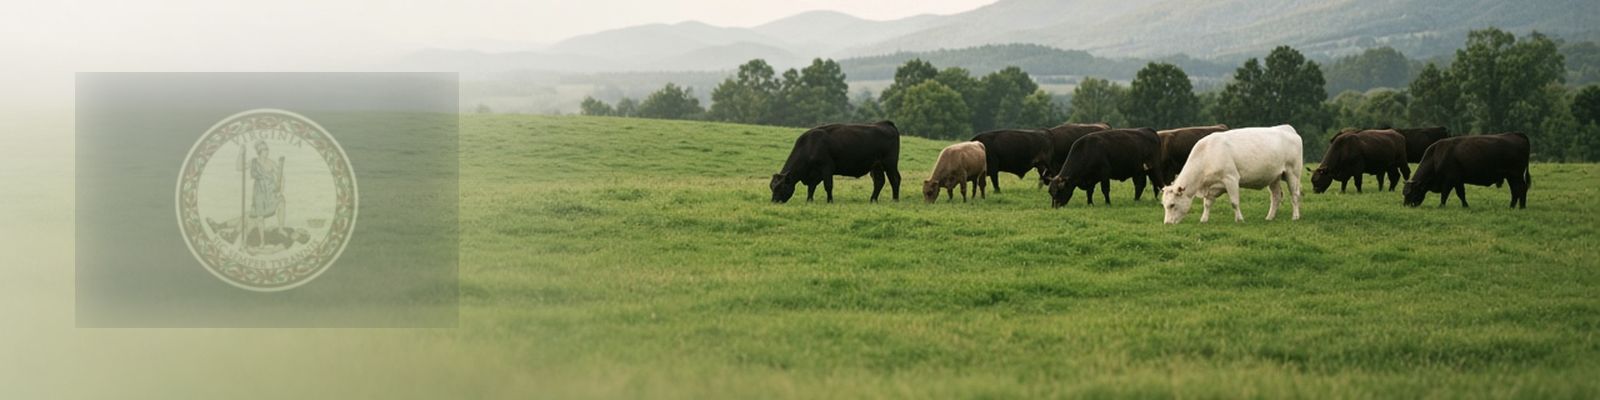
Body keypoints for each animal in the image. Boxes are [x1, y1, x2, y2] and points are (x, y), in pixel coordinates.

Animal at [770, 121, 902, 203]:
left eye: (781, 187)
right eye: (772, 187)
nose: (774, 201)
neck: (810, 145)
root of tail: (885, 123)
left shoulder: (826, 168)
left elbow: (828, 186)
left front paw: (830, 201)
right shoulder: (814, 174)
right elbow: (811, 188)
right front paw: (809, 201)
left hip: (890, 163)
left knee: (895, 179)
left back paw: (895, 199)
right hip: (876, 166)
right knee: (879, 181)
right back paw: (873, 200)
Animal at [1160, 125, 1304, 224]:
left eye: (1172, 205)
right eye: (1164, 205)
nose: (1167, 223)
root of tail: (1287, 128)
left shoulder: (1231, 179)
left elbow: (1234, 202)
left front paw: (1239, 219)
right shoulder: (1213, 186)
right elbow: (1207, 204)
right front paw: (1204, 219)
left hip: (1293, 173)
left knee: (1295, 195)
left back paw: (1295, 216)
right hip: (1274, 177)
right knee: (1276, 197)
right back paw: (1269, 217)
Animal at [1402, 133, 1530, 209]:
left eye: (1410, 193)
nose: (1405, 205)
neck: (1435, 157)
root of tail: (1517, 135)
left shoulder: (1449, 180)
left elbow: (1445, 194)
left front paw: (1441, 206)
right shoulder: (1458, 181)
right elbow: (1461, 194)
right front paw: (1465, 206)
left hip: (1515, 175)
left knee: (1520, 189)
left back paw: (1521, 207)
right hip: (1511, 176)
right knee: (1516, 190)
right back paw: (1513, 206)